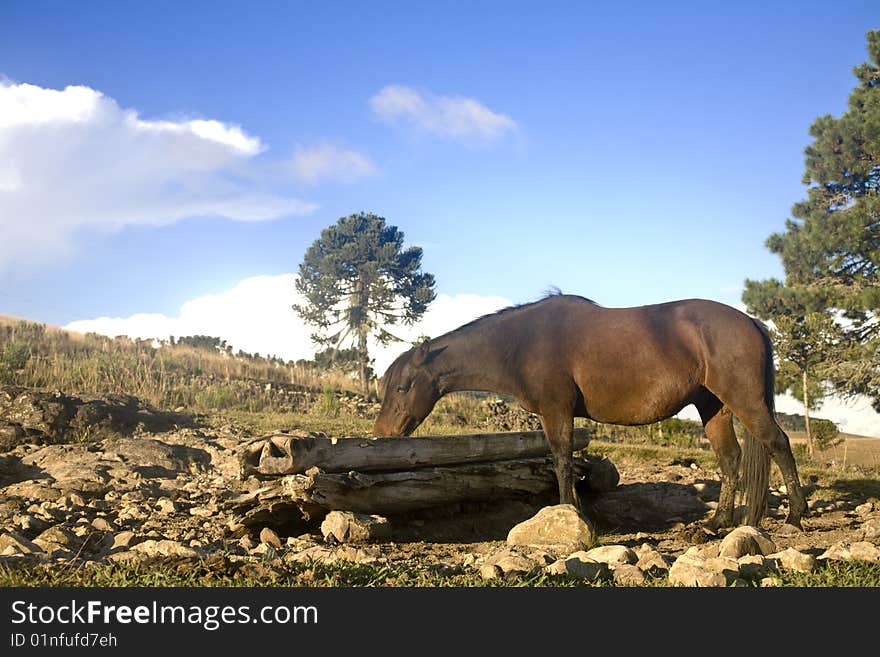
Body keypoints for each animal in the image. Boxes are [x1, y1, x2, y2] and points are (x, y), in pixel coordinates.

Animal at [374, 294, 808, 532]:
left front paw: (569, 511)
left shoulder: (556, 411)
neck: (521, 343)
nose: (382, 433)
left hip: (744, 400)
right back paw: (718, 523)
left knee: (778, 443)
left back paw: (794, 515)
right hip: (712, 406)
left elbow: (562, 461)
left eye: (402, 386)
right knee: (731, 459)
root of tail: (751, 322)